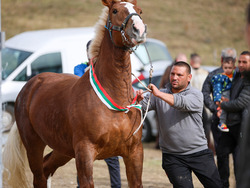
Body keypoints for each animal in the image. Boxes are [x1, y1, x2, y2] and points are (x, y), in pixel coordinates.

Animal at [2, 0, 146, 187]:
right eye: (115, 11)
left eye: (139, 11)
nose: (139, 29)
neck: (115, 98)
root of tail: (30, 86)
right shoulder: (85, 152)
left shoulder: (134, 152)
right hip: (34, 144)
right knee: (39, 176)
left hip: (63, 149)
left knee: (46, 168)